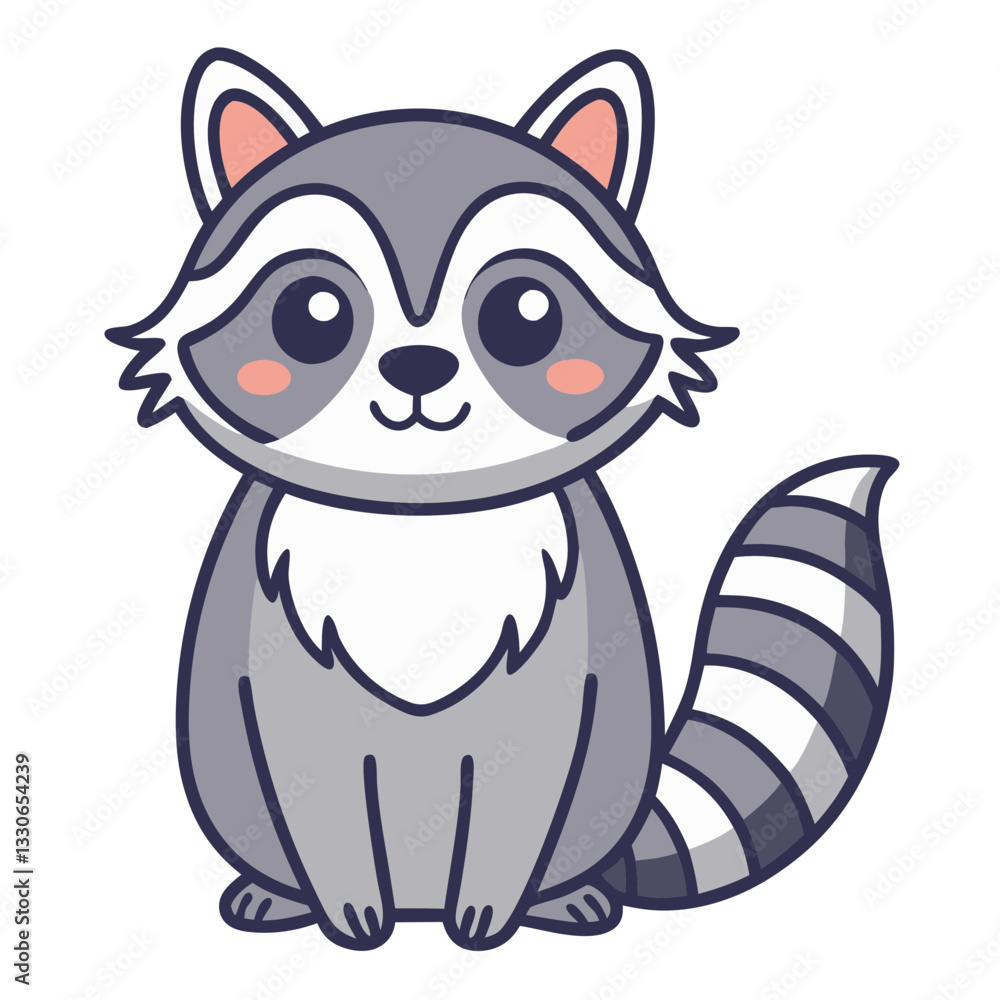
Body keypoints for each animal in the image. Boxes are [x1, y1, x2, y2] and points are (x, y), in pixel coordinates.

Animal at [107, 48, 896, 950]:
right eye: (311, 315)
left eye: (526, 315)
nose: (418, 368)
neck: (419, 520)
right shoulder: (287, 695)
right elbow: (322, 795)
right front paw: (352, 917)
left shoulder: (553, 689)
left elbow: (517, 796)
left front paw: (485, 918)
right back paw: (283, 898)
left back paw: (561, 899)